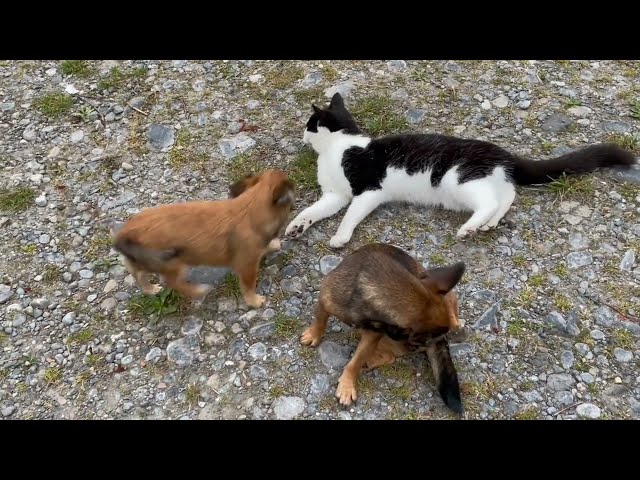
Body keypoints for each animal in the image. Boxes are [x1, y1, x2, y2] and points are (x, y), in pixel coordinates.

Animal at [112, 171, 296, 310]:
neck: (248, 208)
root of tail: (124, 235)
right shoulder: (247, 266)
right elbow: (248, 286)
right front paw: (255, 301)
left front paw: (272, 244)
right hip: (175, 265)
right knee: (172, 283)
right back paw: (199, 291)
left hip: (143, 260)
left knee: (137, 272)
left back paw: (150, 289)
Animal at [284, 92, 636, 248]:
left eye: (309, 124)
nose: (300, 135)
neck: (338, 148)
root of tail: (501, 152)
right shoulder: (335, 194)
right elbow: (313, 210)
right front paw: (297, 226)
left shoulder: (369, 189)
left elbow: (351, 214)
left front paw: (340, 237)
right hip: (478, 183)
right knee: (507, 197)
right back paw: (487, 225)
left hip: (457, 178)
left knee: (492, 201)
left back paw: (469, 228)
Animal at [300, 244, 464, 416]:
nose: (416, 347)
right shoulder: (325, 302)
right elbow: (320, 320)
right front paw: (314, 334)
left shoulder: (373, 335)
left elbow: (356, 361)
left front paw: (347, 384)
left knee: (388, 357)